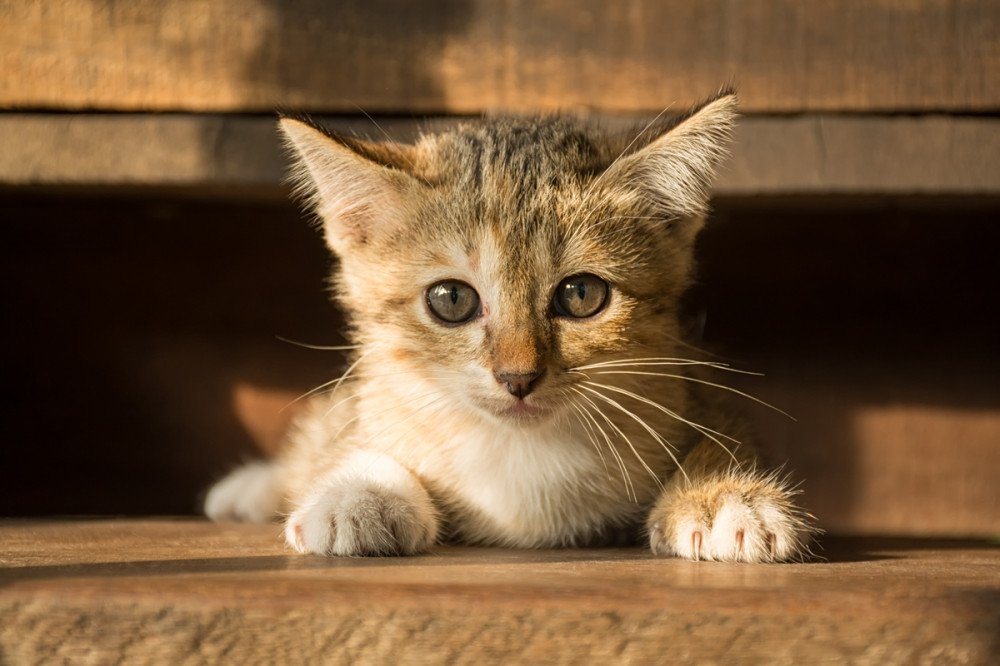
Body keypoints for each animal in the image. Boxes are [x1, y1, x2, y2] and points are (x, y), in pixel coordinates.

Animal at [203, 89, 812, 560]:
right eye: (451, 299)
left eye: (582, 294)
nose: (518, 377)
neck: (520, 456)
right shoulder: (374, 394)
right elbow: (351, 439)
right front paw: (359, 493)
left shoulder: (691, 379)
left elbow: (724, 434)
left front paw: (723, 496)